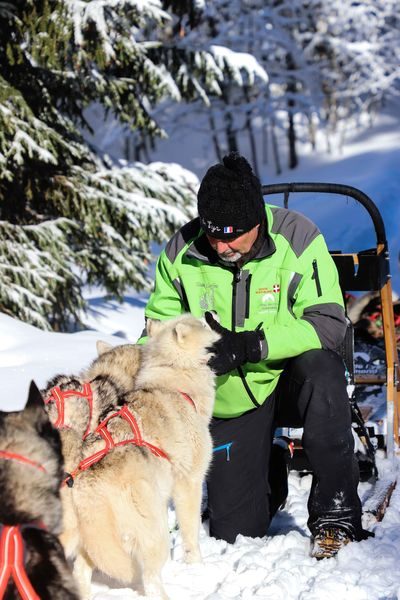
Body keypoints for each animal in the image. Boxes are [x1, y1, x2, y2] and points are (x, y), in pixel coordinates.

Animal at [55, 316, 219, 596]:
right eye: (202, 323)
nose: (211, 315)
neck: (174, 381)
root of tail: (86, 486)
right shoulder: (189, 483)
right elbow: (191, 533)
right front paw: (197, 566)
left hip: (85, 539)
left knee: (79, 572)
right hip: (155, 533)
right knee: (150, 579)